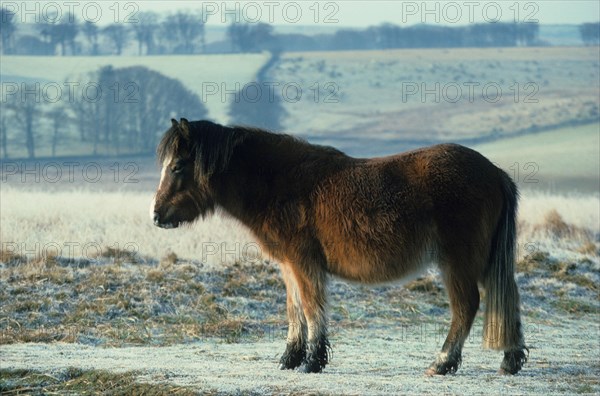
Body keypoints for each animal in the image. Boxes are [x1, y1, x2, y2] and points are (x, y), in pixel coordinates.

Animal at [152, 117, 528, 374]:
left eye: (177, 166)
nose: (156, 216)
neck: (280, 183)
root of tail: (495, 173)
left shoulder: (304, 263)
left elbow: (311, 308)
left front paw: (312, 361)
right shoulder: (288, 266)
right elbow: (294, 309)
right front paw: (290, 358)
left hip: (459, 263)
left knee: (466, 307)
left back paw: (443, 362)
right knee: (508, 297)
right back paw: (511, 360)